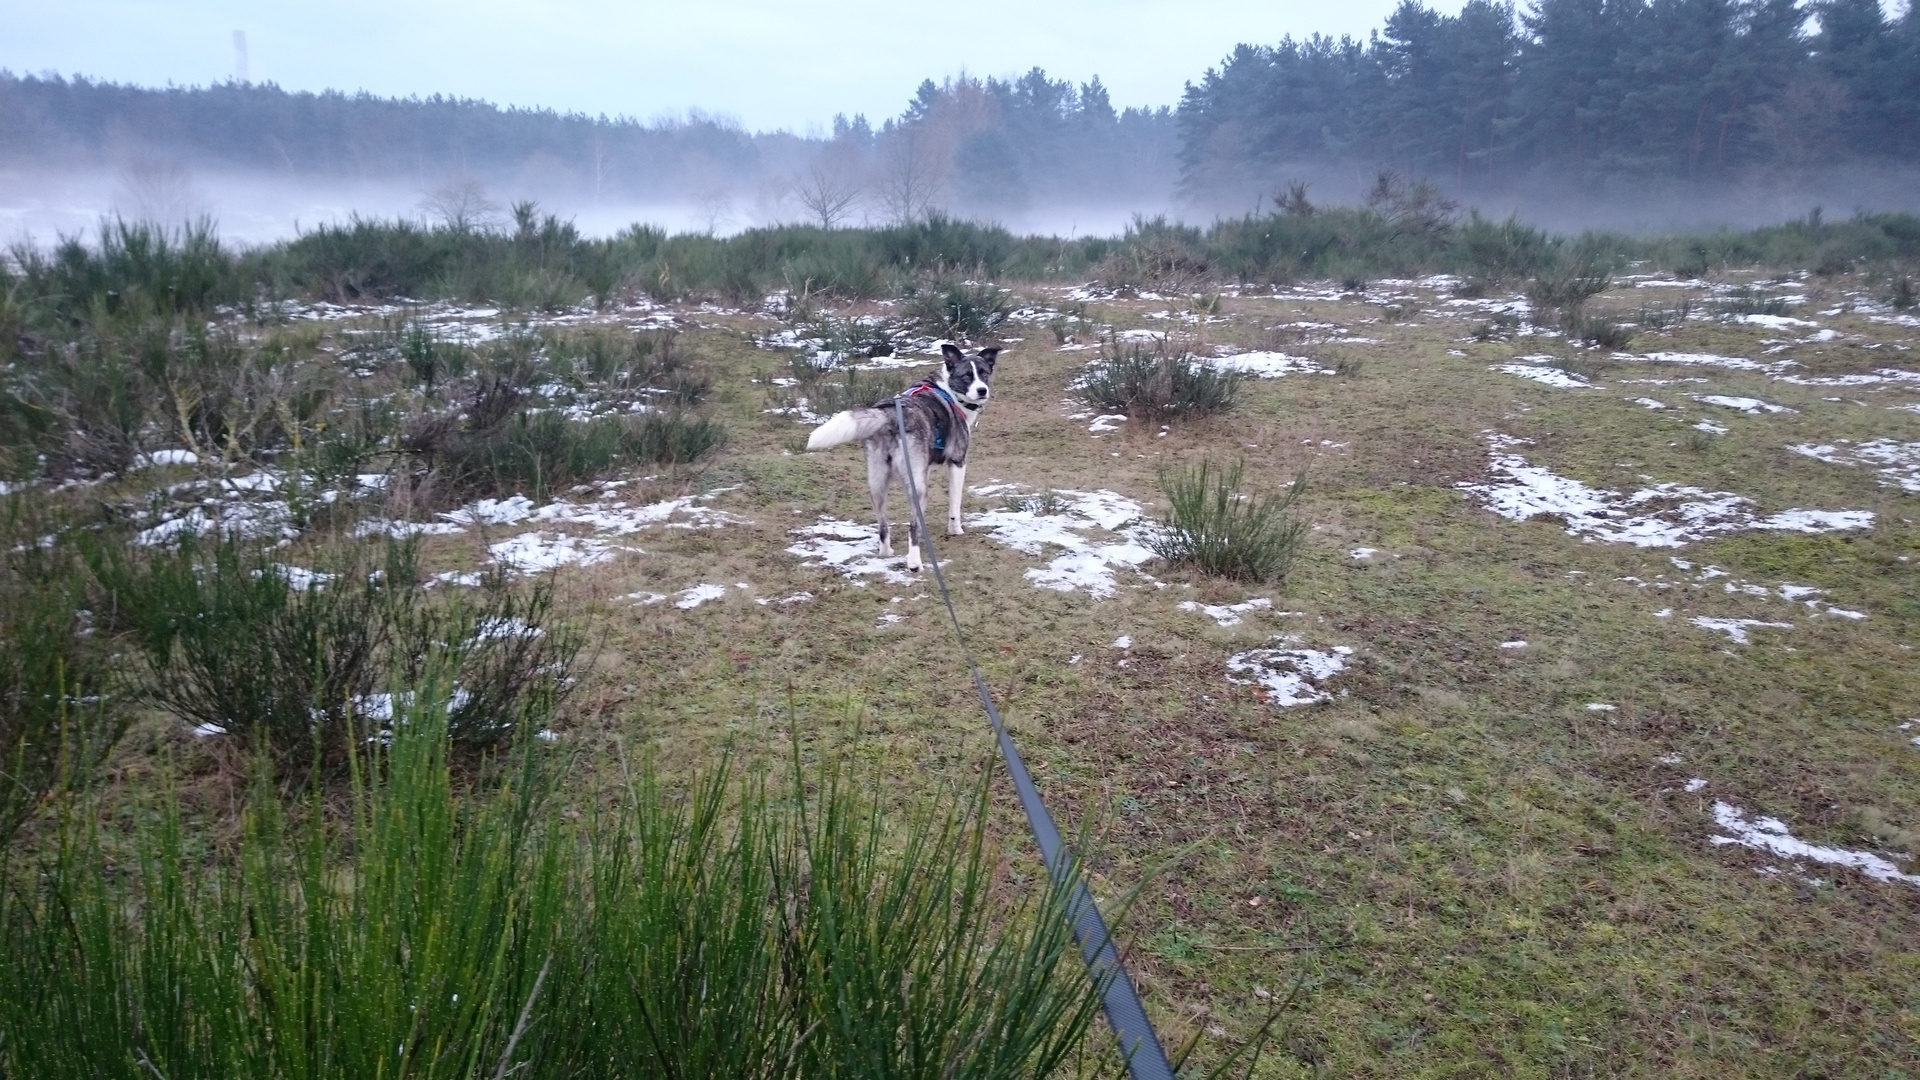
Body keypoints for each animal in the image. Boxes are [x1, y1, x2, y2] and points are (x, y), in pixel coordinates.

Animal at [802, 342, 998, 572]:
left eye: (984, 373)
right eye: (967, 375)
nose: (982, 390)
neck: (948, 389)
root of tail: (891, 414)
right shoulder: (958, 462)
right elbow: (954, 505)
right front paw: (955, 529)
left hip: (877, 484)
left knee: (883, 526)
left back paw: (886, 552)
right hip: (918, 489)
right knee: (912, 528)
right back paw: (914, 562)